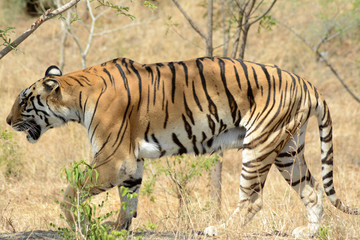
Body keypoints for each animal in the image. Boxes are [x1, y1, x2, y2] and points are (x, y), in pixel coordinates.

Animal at [6, 56, 360, 238]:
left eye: (24, 101)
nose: (8, 121)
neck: (76, 97)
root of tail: (307, 82)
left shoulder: (113, 158)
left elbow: (73, 189)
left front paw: (74, 223)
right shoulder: (130, 163)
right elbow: (128, 198)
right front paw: (118, 228)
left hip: (260, 145)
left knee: (253, 200)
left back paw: (219, 229)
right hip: (288, 149)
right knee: (312, 190)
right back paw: (308, 231)